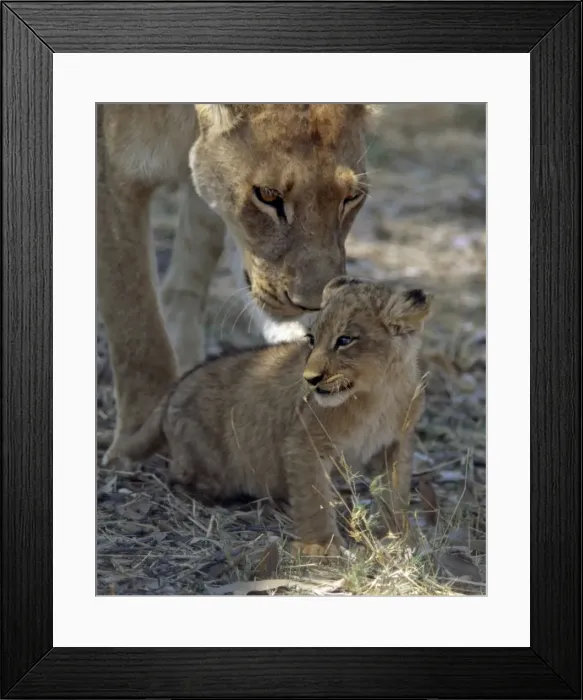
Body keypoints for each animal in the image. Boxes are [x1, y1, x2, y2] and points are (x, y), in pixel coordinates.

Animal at [97, 104, 373, 458]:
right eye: (268, 195)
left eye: (352, 197)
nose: (313, 304)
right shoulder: (113, 176)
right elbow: (134, 321)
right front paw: (139, 439)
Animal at [108, 276, 431, 557]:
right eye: (311, 339)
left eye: (345, 340)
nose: (310, 379)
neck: (379, 393)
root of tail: (176, 387)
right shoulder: (303, 442)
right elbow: (314, 498)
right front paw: (321, 547)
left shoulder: (395, 444)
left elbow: (395, 493)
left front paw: (401, 536)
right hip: (207, 460)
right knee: (176, 478)